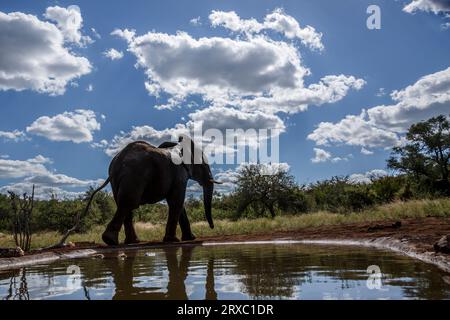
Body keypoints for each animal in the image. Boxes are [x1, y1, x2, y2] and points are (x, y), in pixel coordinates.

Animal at [84, 136, 220, 245]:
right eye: (204, 165)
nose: (212, 227)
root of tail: (118, 161)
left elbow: (178, 204)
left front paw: (190, 238)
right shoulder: (180, 173)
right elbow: (176, 201)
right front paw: (173, 240)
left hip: (120, 180)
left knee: (124, 205)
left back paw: (131, 241)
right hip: (135, 175)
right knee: (128, 203)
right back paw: (111, 240)